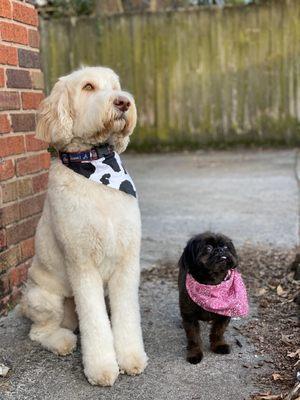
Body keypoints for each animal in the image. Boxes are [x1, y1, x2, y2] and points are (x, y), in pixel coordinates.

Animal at [20, 67, 148, 386]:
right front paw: (102, 367)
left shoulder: (126, 261)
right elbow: (95, 322)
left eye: (115, 86)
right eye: (88, 87)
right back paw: (62, 341)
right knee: (38, 332)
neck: (95, 165)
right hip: (44, 298)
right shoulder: (82, 264)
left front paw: (130, 357)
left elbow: (127, 315)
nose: (123, 102)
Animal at [178, 231, 246, 366]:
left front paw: (218, 345)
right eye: (208, 248)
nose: (220, 249)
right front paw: (194, 353)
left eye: (225, 247)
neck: (212, 283)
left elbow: (218, 331)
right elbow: (193, 338)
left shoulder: (224, 315)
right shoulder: (189, 317)